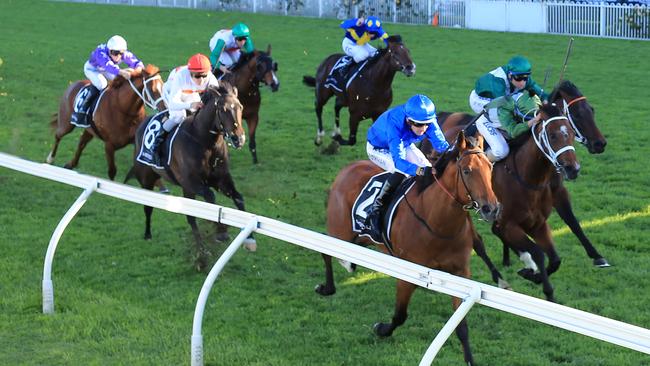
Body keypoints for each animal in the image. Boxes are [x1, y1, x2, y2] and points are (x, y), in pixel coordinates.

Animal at [124, 83, 248, 272]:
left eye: (240, 107)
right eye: (223, 109)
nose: (238, 139)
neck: (204, 141)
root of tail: (141, 124)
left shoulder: (221, 180)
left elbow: (239, 198)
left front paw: (249, 237)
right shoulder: (191, 183)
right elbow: (210, 197)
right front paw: (221, 231)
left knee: (190, 218)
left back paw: (201, 251)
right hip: (148, 180)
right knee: (148, 207)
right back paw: (149, 234)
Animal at [318, 132, 496, 366]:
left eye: (490, 167)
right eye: (467, 170)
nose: (491, 208)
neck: (437, 222)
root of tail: (346, 169)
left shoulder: (461, 273)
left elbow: (462, 327)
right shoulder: (409, 273)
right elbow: (400, 315)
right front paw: (382, 329)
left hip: (359, 239)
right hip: (339, 232)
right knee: (325, 251)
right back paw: (326, 287)